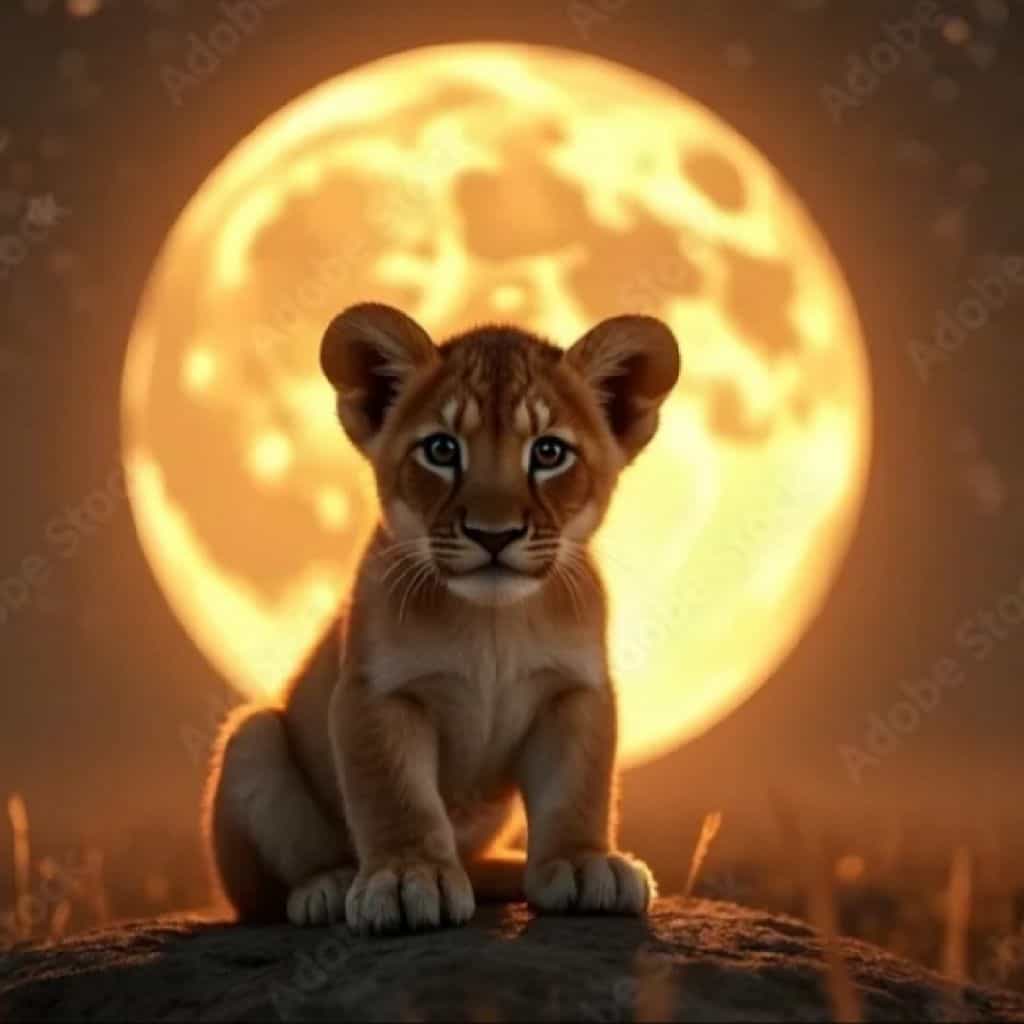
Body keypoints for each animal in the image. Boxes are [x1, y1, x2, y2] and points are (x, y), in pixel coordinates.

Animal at [204, 303, 680, 934]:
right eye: (442, 450)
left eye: (549, 453)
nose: (493, 534)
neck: (493, 623)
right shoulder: (379, 694)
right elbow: (398, 797)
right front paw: (409, 878)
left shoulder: (573, 692)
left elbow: (578, 788)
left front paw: (583, 864)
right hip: (250, 741)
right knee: (265, 892)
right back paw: (327, 886)